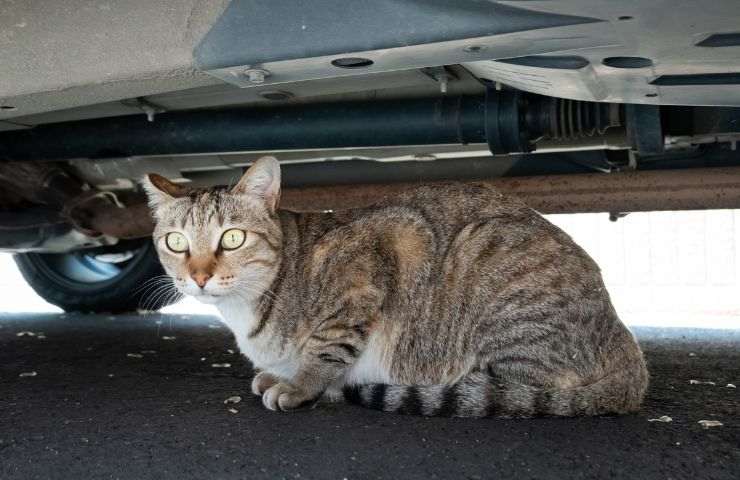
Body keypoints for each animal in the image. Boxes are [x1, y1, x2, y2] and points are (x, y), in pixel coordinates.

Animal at [143, 157, 648, 416]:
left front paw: (304, 385)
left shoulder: (367, 266)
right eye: (176, 241)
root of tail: (623, 338)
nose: (199, 276)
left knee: (519, 388)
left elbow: (327, 349)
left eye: (232, 238)